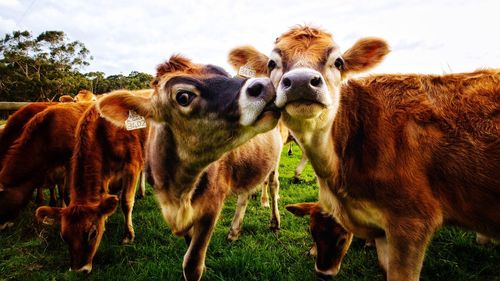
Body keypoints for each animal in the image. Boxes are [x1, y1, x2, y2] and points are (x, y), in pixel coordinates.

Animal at [35, 89, 152, 272]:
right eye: (64, 236)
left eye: (92, 233)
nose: (79, 270)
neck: (104, 131)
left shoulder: (132, 166)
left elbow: (126, 202)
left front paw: (128, 235)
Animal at [94, 54, 282, 280]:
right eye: (183, 97)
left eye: (225, 73)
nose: (265, 85)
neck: (178, 191)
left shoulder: (212, 204)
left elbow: (192, 264)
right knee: (244, 195)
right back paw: (234, 231)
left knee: (273, 186)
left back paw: (274, 222)